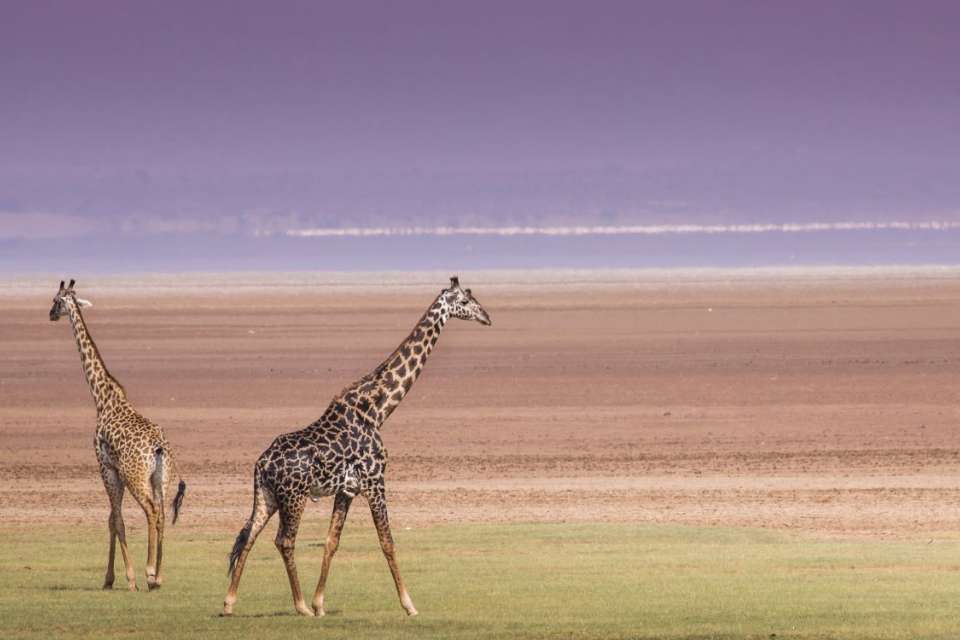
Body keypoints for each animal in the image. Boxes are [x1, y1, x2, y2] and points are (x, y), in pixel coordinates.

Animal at [49, 279, 187, 592]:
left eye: (56, 300)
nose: (50, 314)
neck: (102, 398)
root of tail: (159, 447)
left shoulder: (106, 466)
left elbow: (117, 520)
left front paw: (127, 578)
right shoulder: (115, 471)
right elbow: (112, 518)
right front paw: (110, 578)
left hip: (135, 476)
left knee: (151, 510)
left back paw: (149, 572)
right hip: (161, 477)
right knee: (162, 513)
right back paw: (159, 576)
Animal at [223, 276, 492, 618]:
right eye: (466, 301)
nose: (487, 317)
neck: (378, 409)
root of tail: (262, 464)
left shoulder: (347, 489)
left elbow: (331, 541)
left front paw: (320, 603)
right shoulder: (376, 480)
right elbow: (387, 541)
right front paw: (409, 604)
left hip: (266, 496)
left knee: (248, 536)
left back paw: (230, 602)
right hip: (294, 497)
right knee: (284, 540)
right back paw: (299, 606)